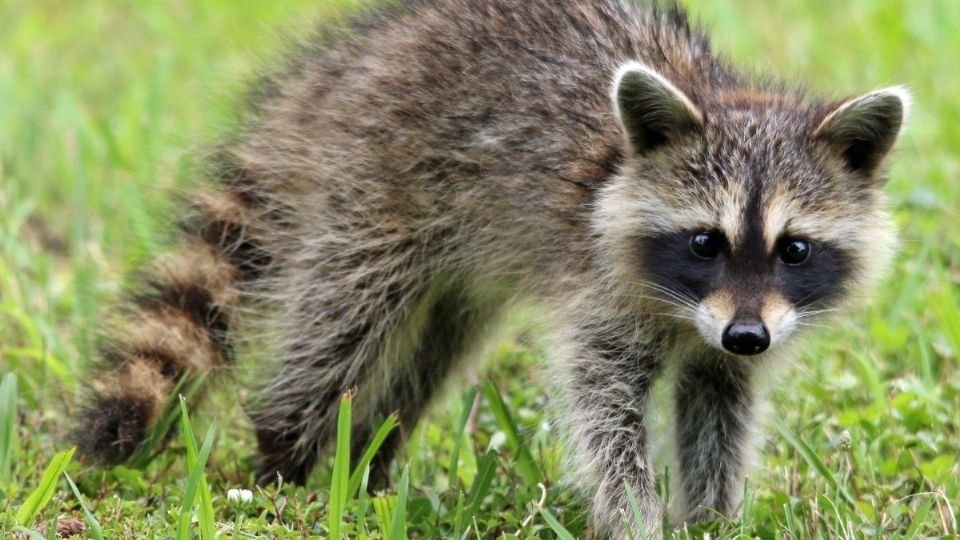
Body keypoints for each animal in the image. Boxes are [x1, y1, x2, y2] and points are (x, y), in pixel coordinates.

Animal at [71, 0, 904, 536]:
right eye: (705, 242)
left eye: (794, 249)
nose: (746, 336)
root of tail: (343, 66)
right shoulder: (603, 291)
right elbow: (602, 406)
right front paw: (633, 514)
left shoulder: (733, 332)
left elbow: (719, 406)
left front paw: (712, 518)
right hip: (374, 185)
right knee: (341, 323)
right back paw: (285, 455)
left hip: (456, 264)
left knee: (431, 350)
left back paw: (370, 458)